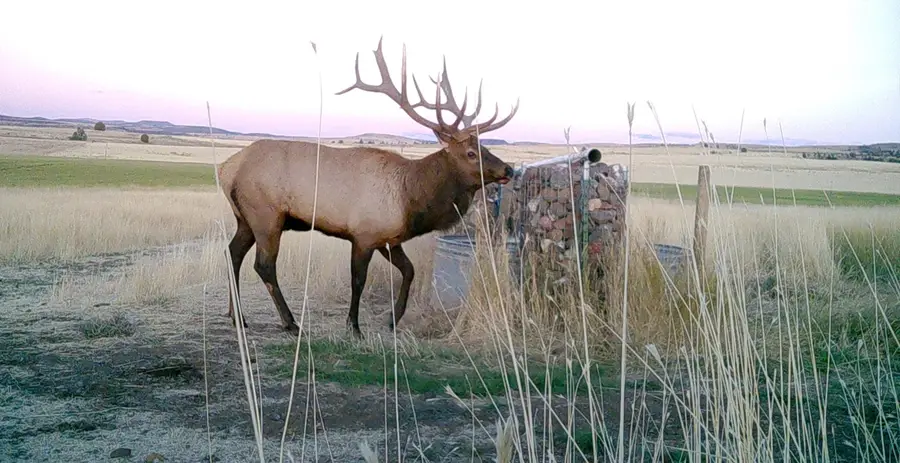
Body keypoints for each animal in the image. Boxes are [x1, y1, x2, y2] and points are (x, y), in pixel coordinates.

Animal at [217, 37, 520, 337]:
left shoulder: (389, 238)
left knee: (232, 253)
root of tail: (225, 169)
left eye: (485, 146)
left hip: (245, 218)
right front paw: (354, 326)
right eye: (470, 153)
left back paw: (237, 316)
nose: (509, 169)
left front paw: (394, 319)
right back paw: (290, 322)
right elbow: (358, 280)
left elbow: (409, 270)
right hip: (266, 214)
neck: (410, 199)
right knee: (264, 265)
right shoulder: (364, 233)